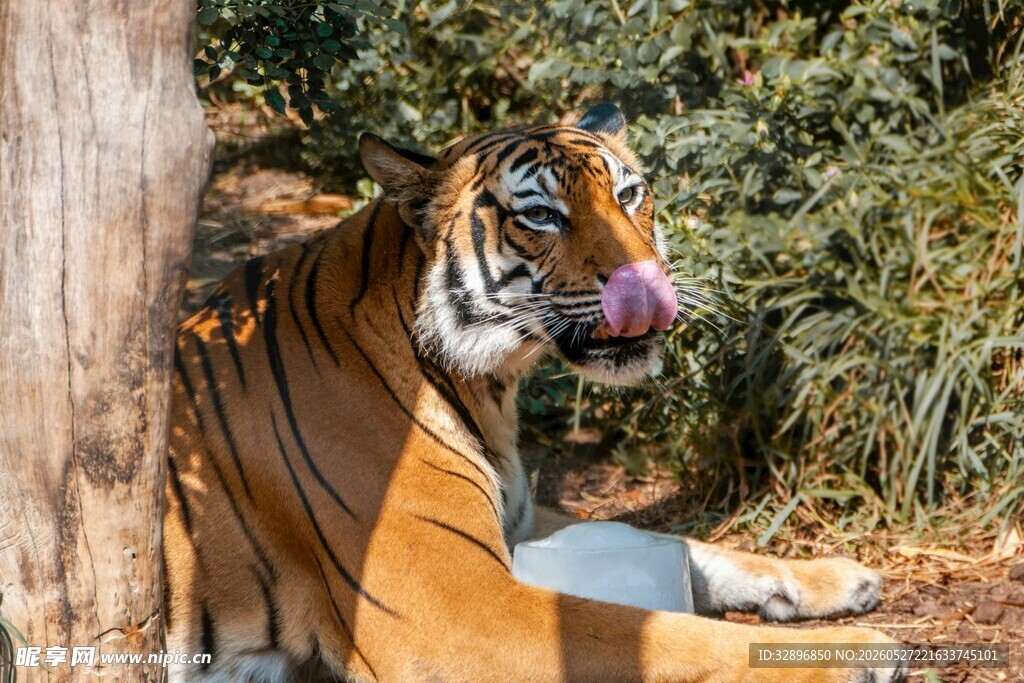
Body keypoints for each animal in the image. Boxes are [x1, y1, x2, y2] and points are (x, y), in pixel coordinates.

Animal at [165, 103, 905, 682]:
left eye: (629, 195)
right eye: (543, 215)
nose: (649, 284)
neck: (487, 384)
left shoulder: (520, 522)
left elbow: (686, 545)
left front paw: (835, 576)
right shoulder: (453, 608)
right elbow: (655, 630)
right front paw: (860, 650)